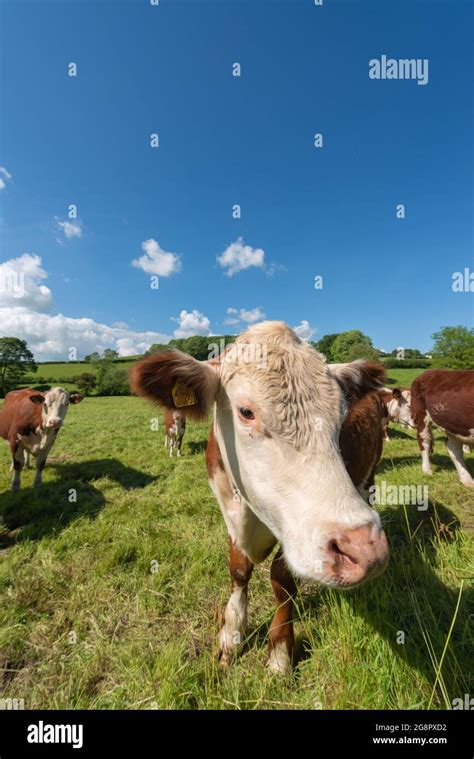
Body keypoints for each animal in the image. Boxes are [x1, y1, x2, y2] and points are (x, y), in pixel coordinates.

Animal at [131, 320, 388, 672]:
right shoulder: (228, 506)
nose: (364, 548)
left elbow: (282, 581)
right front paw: (231, 634)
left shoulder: (295, 529)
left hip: (369, 475)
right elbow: (238, 568)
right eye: (246, 412)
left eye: (341, 413)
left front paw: (280, 652)